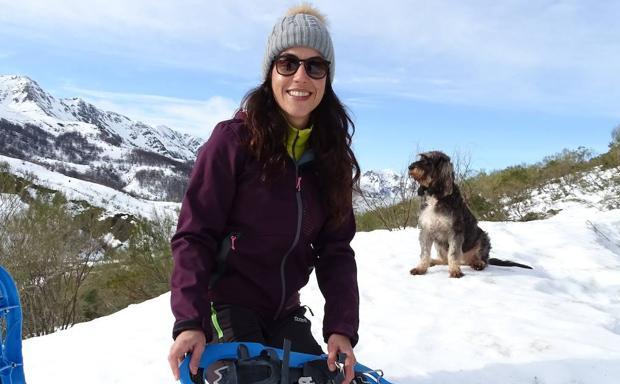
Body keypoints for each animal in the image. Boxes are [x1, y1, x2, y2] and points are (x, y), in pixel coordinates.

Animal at [406, 151, 532, 280]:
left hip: (483, 239)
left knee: (482, 260)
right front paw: (421, 268)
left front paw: (455, 271)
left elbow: (453, 253)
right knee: (444, 260)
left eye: (428, 161)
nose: (410, 167)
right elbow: (425, 253)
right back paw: (433, 261)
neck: (435, 196)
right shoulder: (426, 230)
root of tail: (465, 261)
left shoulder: (455, 231)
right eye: (421, 158)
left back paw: (477, 263)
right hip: (439, 243)